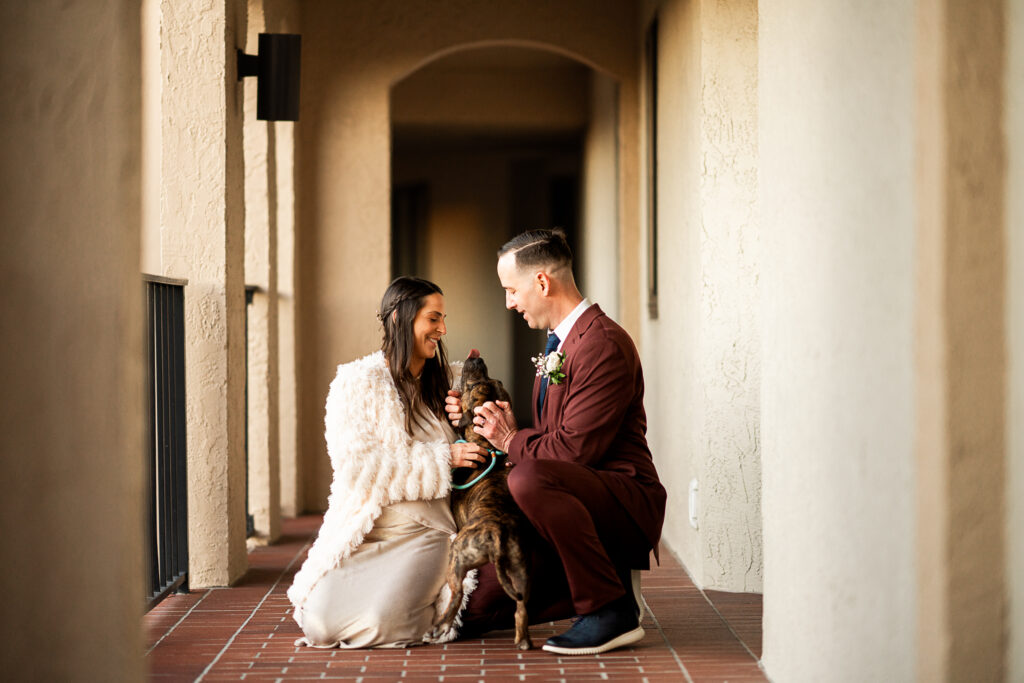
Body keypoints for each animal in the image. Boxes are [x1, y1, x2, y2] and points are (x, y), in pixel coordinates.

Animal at [430, 352, 532, 651]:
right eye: (495, 381)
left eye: (473, 387)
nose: (477, 357)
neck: (489, 448)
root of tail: (497, 537)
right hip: (520, 570)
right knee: (521, 607)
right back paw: (523, 641)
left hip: (457, 559)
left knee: (455, 598)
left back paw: (440, 629)